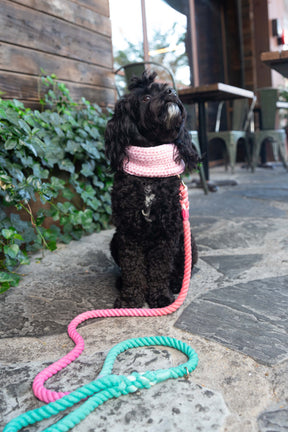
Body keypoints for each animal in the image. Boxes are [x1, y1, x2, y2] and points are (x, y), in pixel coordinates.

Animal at [104, 71, 199, 308]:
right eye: (146, 98)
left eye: (166, 88)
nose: (171, 92)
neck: (149, 175)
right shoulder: (128, 231)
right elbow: (132, 268)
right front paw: (130, 299)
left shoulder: (167, 231)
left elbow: (160, 268)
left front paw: (160, 296)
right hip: (114, 241)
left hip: (188, 242)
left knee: (183, 269)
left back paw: (176, 284)